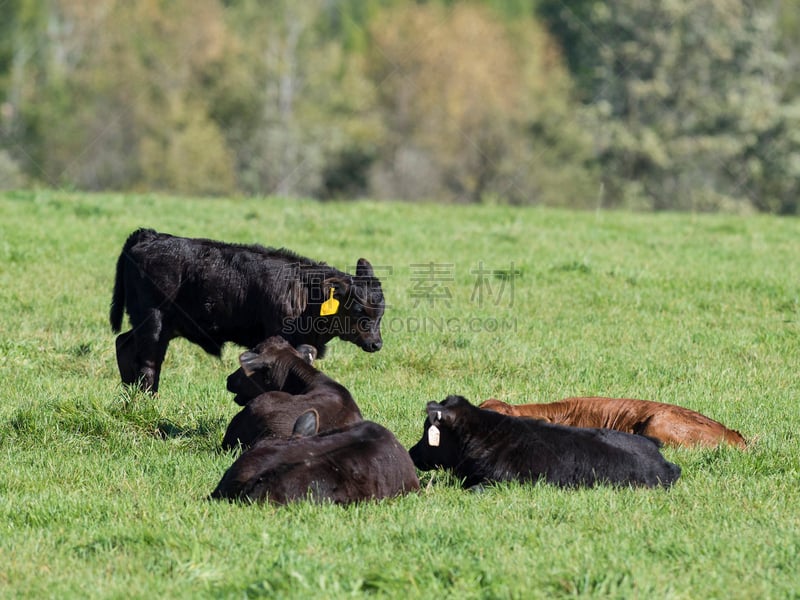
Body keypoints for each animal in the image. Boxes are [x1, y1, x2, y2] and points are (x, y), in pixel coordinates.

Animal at [111, 227, 386, 392]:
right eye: (358, 309)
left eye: (381, 312)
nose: (376, 344)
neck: (306, 294)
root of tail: (150, 235)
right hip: (154, 322)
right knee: (148, 362)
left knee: (124, 344)